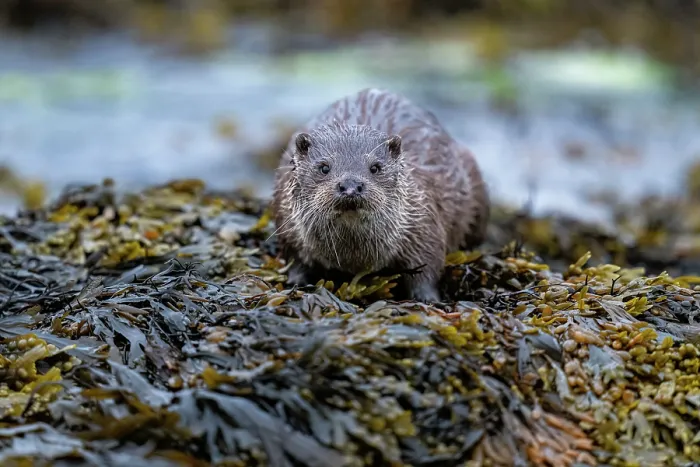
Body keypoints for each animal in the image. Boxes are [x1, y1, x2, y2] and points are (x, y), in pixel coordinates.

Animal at [271, 88, 489, 302]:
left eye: (375, 167)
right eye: (324, 167)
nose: (351, 185)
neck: (353, 257)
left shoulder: (424, 224)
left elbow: (428, 267)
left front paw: (428, 298)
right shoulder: (289, 226)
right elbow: (295, 259)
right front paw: (296, 283)